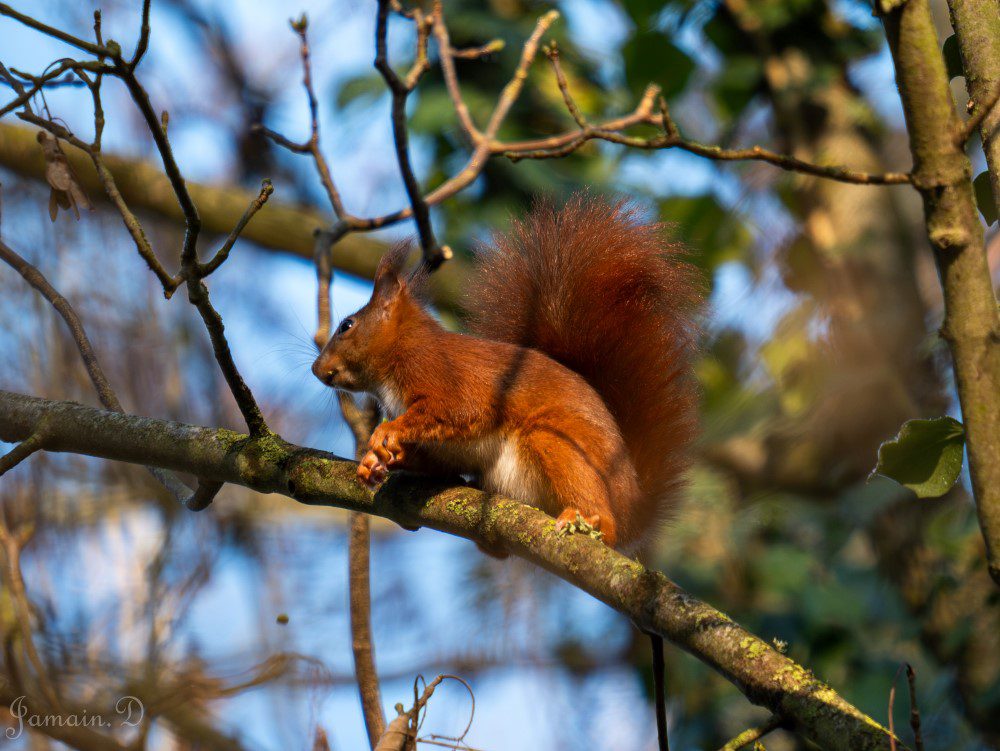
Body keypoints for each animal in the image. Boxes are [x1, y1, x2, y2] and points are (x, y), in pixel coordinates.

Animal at [310, 197, 696, 552]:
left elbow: (457, 410)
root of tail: (635, 505)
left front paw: (384, 434)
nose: (316, 369)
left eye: (347, 326)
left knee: (604, 520)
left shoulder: (437, 370)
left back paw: (586, 517)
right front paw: (376, 463)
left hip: (557, 444)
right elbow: (438, 464)